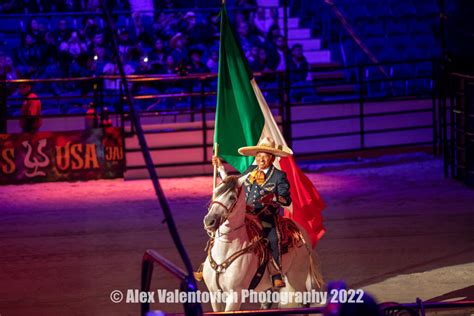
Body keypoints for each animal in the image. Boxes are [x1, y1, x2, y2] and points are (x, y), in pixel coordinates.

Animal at [200, 175, 322, 312]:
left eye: (232, 197)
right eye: (215, 192)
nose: (209, 221)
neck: (226, 250)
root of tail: (299, 229)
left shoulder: (235, 295)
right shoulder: (214, 295)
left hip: (297, 276)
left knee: (304, 301)